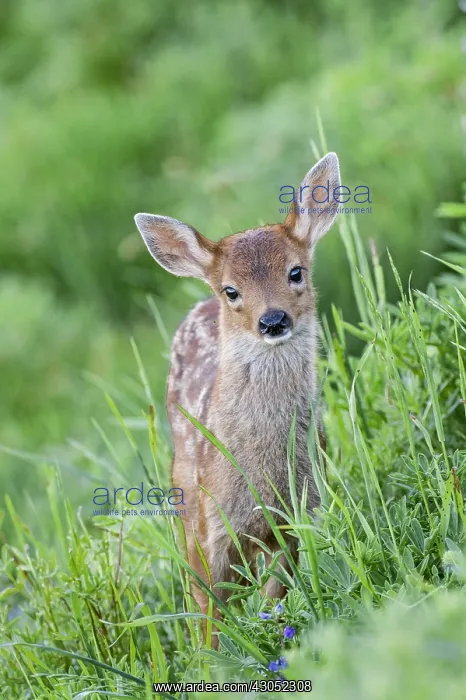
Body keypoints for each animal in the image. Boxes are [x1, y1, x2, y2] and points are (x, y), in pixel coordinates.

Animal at [134, 152, 340, 634]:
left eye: (295, 271)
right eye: (232, 290)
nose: (273, 320)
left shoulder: (300, 514)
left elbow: (278, 594)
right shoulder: (212, 527)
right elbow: (210, 616)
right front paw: (215, 653)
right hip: (183, 487)